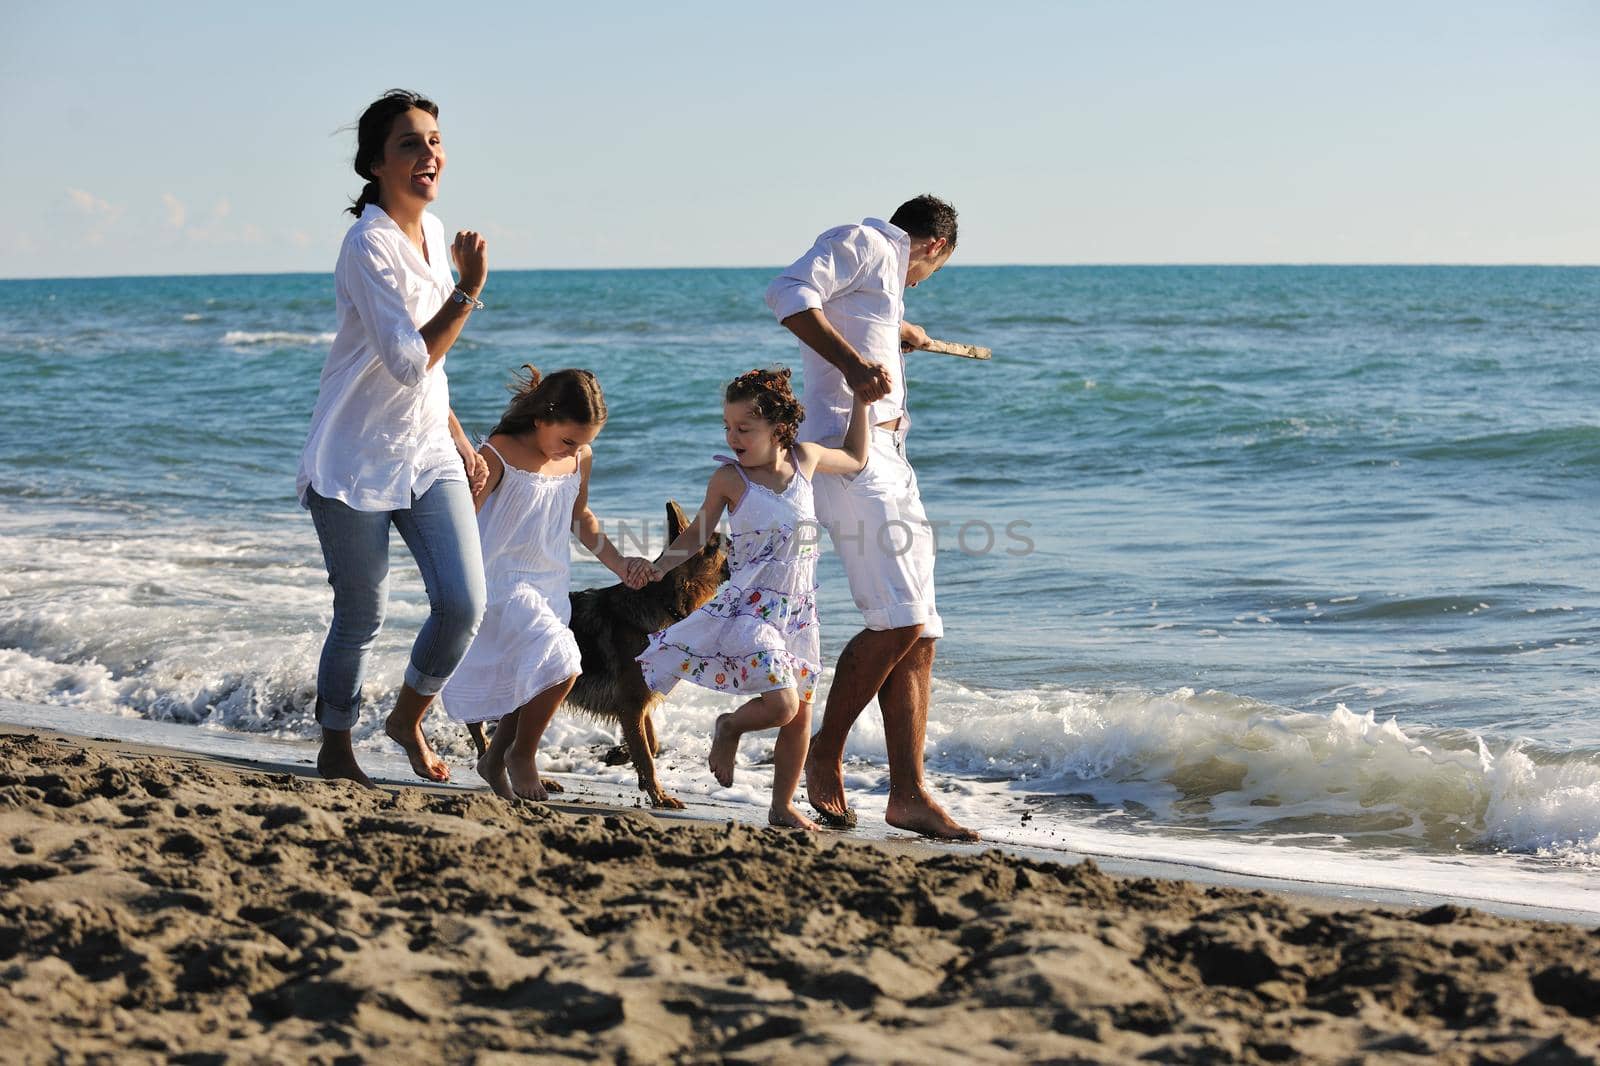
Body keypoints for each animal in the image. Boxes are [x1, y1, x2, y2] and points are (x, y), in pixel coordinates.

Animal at [467, 499, 732, 806]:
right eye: (721, 544)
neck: (663, 601)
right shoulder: (631, 704)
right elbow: (647, 754)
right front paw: (658, 795)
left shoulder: (637, 704)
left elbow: (651, 744)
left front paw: (622, 756)